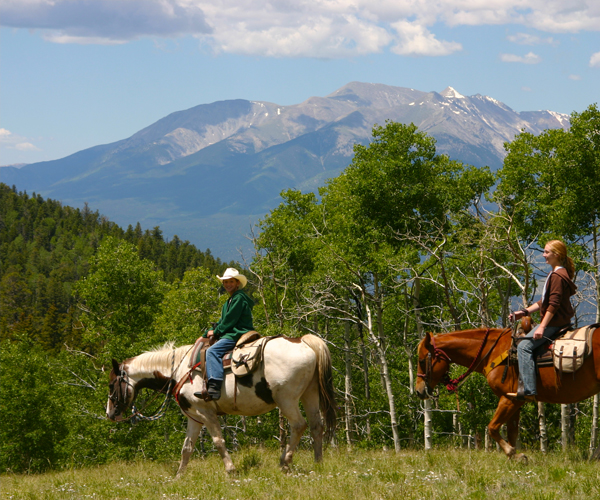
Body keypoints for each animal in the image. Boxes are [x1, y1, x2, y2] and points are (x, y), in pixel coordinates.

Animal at [105, 334, 336, 474]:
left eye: (110, 384)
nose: (110, 413)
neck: (180, 370)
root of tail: (303, 342)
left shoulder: (206, 413)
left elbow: (218, 441)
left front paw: (231, 470)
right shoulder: (195, 416)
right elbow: (187, 448)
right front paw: (179, 477)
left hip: (286, 400)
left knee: (299, 425)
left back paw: (285, 463)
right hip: (310, 394)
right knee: (316, 426)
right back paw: (318, 463)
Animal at [414, 326, 600, 458]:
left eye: (422, 361)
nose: (418, 391)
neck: (492, 352)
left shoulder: (509, 399)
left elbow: (492, 428)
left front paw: (511, 453)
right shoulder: (516, 402)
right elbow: (512, 432)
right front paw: (515, 458)